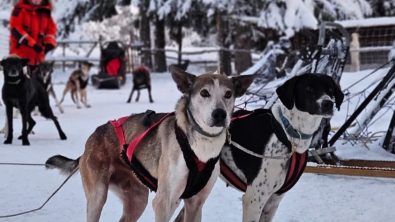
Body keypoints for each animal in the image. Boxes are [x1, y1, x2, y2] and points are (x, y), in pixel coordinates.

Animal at [45, 66, 256, 222]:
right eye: (204, 93)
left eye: (228, 94)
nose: (220, 114)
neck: (201, 147)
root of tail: (92, 138)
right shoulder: (164, 202)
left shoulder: (195, 203)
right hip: (98, 197)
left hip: (137, 200)